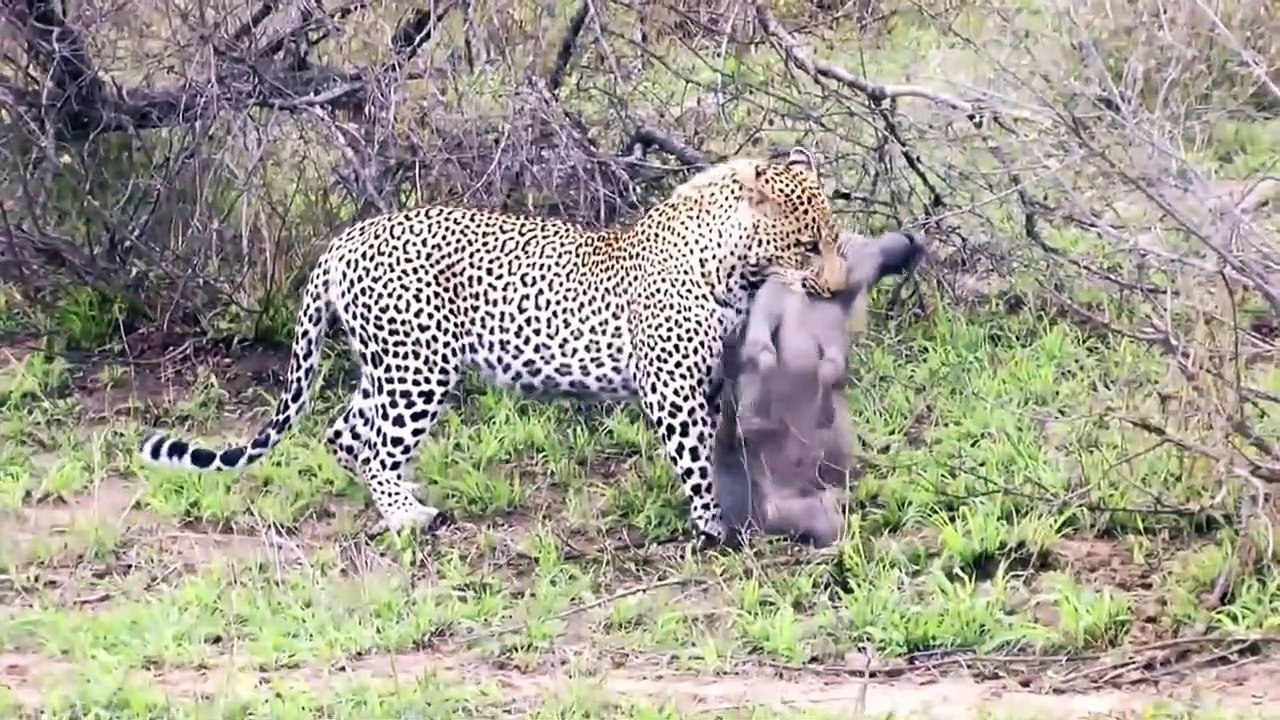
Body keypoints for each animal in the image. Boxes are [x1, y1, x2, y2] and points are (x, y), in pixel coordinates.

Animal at [137, 147, 848, 544]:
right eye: (808, 245)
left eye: (835, 239)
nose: (840, 285)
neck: (734, 268)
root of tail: (344, 241)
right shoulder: (672, 388)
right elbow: (696, 460)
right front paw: (713, 528)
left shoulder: (712, 379)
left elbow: (730, 448)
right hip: (417, 370)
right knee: (373, 444)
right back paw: (409, 520)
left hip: (389, 367)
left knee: (346, 432)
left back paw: (402, 502)